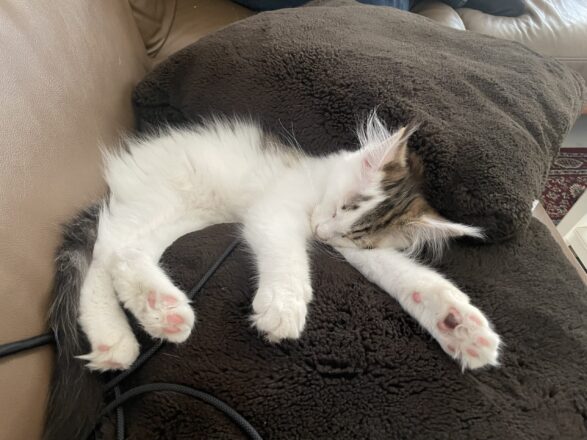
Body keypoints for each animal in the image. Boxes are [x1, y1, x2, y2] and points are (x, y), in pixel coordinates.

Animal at [46, 113, 501, 439]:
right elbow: (287, 257)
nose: (323, 233)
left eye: (350, 229)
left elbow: (413, 279)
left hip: (186, 216)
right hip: (166, 195)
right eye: (340, 206)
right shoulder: (275, 209)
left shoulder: (360, 251)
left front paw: (458, 325)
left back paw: (150, 316)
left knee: (124, 253)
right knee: (107, 248)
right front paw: (284, 307)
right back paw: (124, 330)